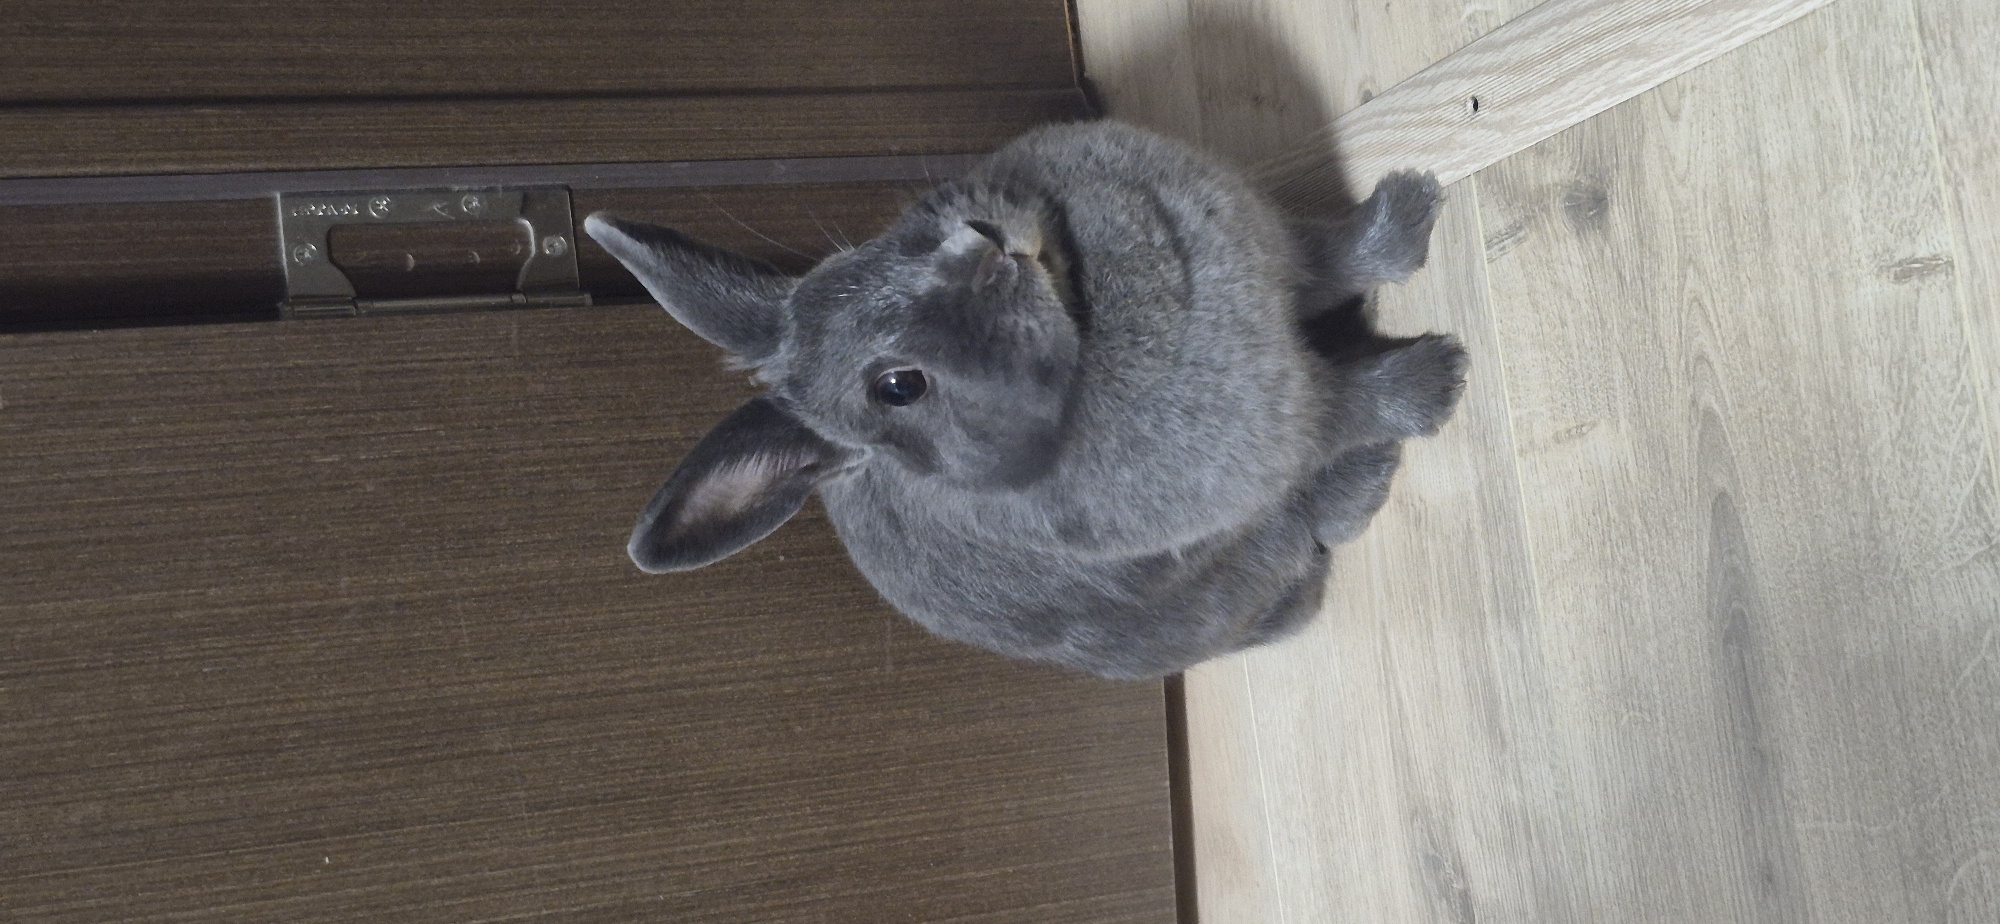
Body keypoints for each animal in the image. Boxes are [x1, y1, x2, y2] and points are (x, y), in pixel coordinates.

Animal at [586, 119, 1464, 679]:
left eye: (846, 262)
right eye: (896, 387)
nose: (979, 247)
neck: (1081, 309)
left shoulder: (1277, 253)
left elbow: (1336, 254)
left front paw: (1409, 208)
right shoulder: (1282, 426)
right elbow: (1348, 400)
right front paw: (1441, 377)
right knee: (1322, 523)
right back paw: (1375, 470)